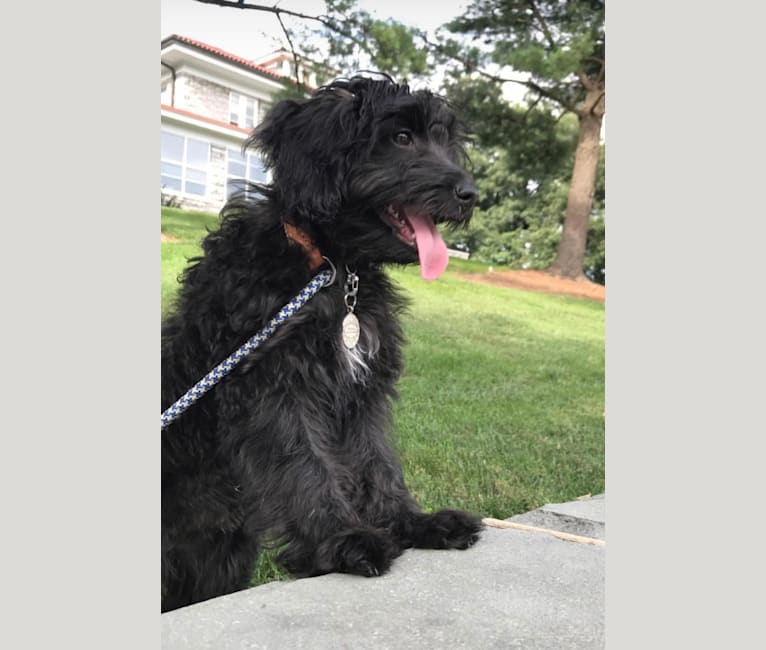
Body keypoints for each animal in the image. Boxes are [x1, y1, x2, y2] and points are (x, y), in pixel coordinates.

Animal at [161, 73, 484, 612]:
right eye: (401, 137)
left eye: (444, 139)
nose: (470, 194)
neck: (333, 266)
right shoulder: (274, 387)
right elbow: (305, 463)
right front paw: (345, 540)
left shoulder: (363, 389)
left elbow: (377, 461)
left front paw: (412, 523)